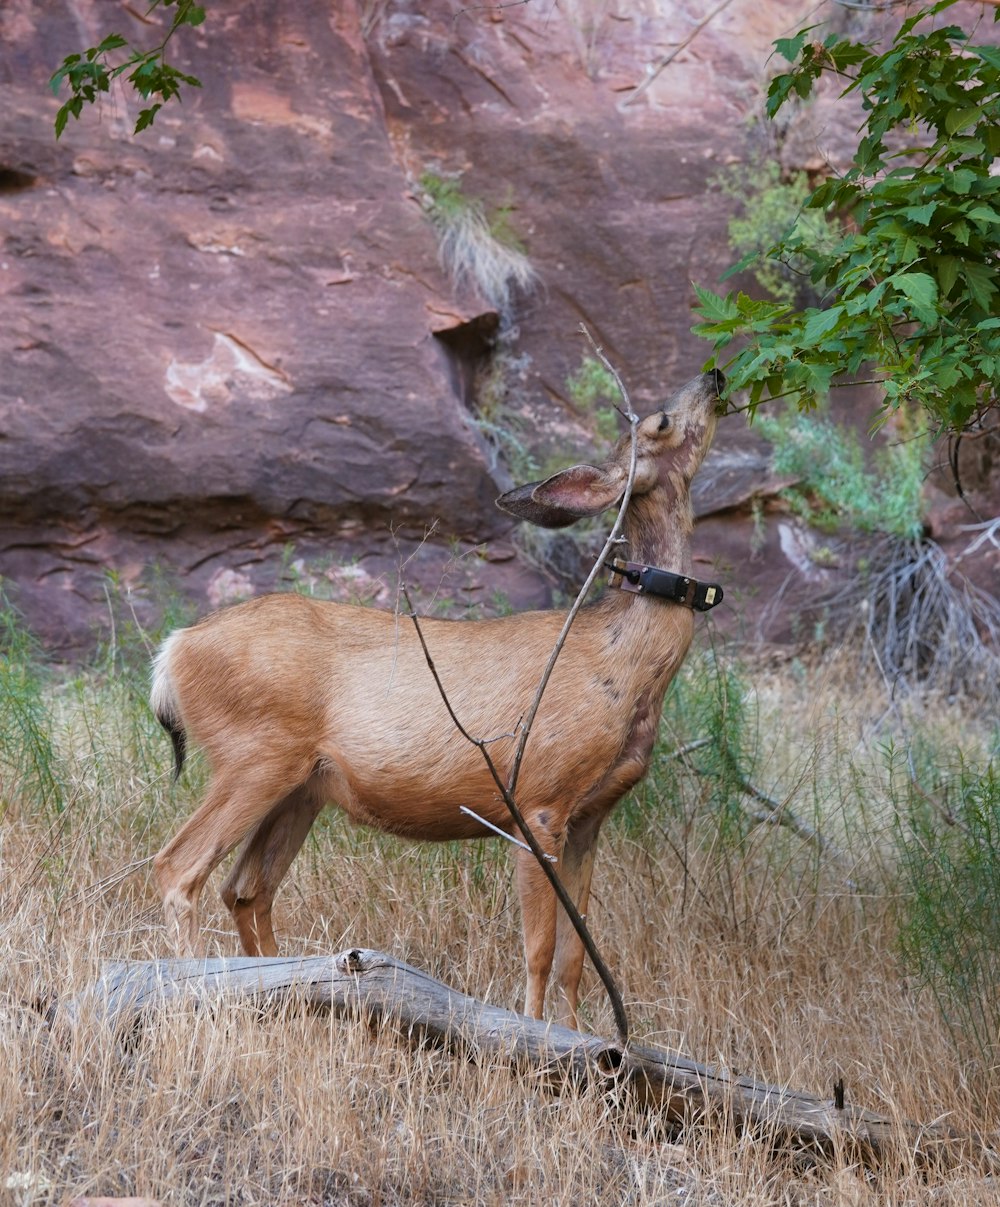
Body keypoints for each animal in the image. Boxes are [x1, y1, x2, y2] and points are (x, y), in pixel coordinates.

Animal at [148, 369, 723, 1028]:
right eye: (660, 421)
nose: (714, 376)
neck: (622, 661)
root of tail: (174, 651)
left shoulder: (590, 817)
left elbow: (577, 958)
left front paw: (588, 1043)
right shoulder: (538, 801)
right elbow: (540, 949)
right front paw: (532, 1037)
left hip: (301, 786)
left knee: (246, 890)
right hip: (254, 754)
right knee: (179, 868)